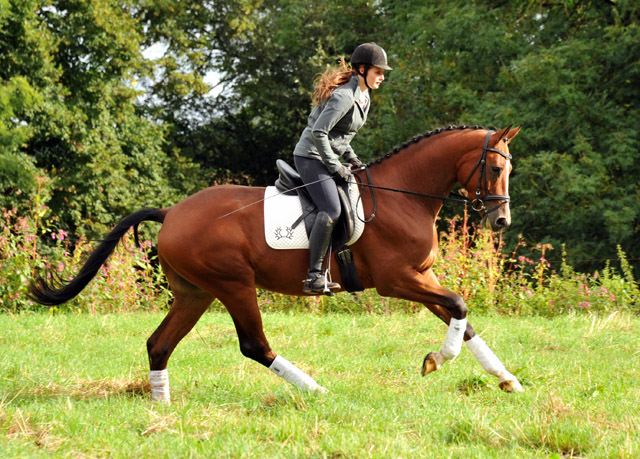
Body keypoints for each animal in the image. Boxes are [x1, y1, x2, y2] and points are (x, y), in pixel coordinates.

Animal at [27, 126, 524, 402]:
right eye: (495, 168)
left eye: (509, 170)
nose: (501, 220)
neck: (404, 196)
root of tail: (172, 213)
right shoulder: (398, 280)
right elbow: (459, 304)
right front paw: (436, 360)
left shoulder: (422, 275)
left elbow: (462, 316)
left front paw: (506, 379)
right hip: (233, 285)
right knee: (254, 345)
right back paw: (318, 390)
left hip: (195, 292)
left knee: (159, 344)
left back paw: (161, 405)